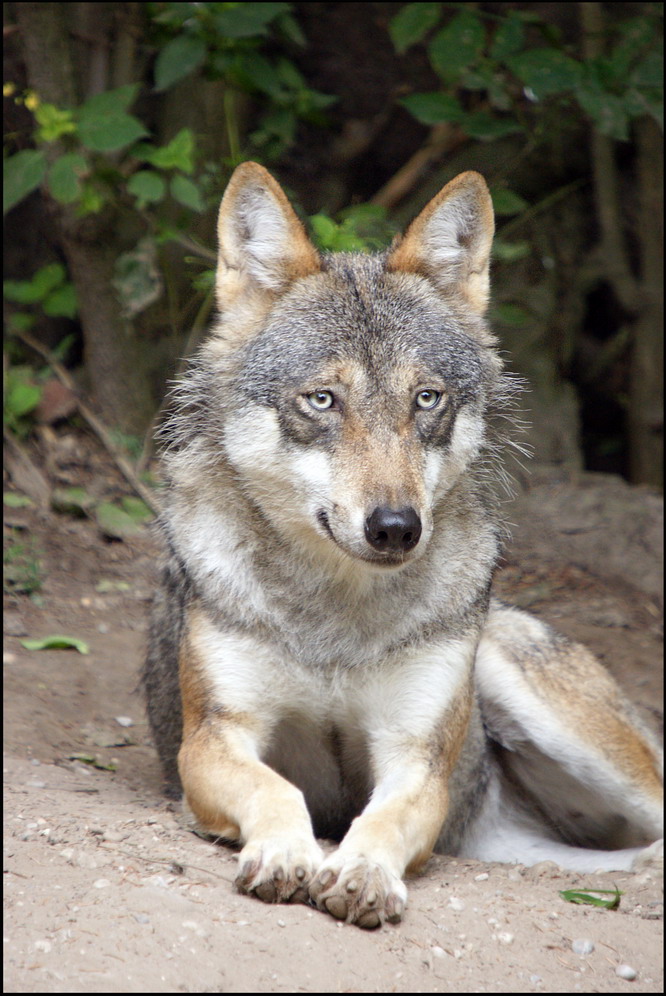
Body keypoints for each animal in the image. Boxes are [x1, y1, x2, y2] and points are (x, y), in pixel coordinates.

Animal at [143, 162, 663, 929]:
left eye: (426, 399)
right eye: (323, 400)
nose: (395, 526)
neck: (337, 619)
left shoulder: (416, 759)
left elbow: (381, 819)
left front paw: (361, 873)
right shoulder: (211, 741)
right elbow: (277, 790)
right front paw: (287, 855)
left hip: (519, 680)